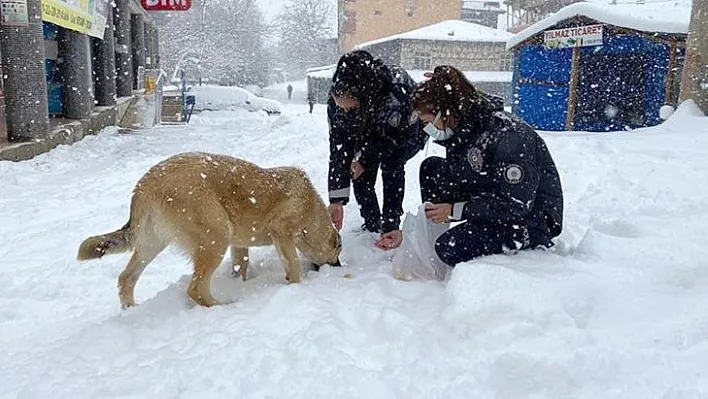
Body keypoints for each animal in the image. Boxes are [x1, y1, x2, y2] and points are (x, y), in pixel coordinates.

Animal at [76, 153, 342, 310]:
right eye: (338, 252)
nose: (339, 267)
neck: (311, 207)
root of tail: (146, 183)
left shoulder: (239, 245)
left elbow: (241, 266)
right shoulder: (282, 233)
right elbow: (294, 266)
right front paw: (295, 286)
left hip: (153, 244)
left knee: (126, 278)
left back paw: (131, 310)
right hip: (217, 237)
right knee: (195, 288)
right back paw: (222, 306)